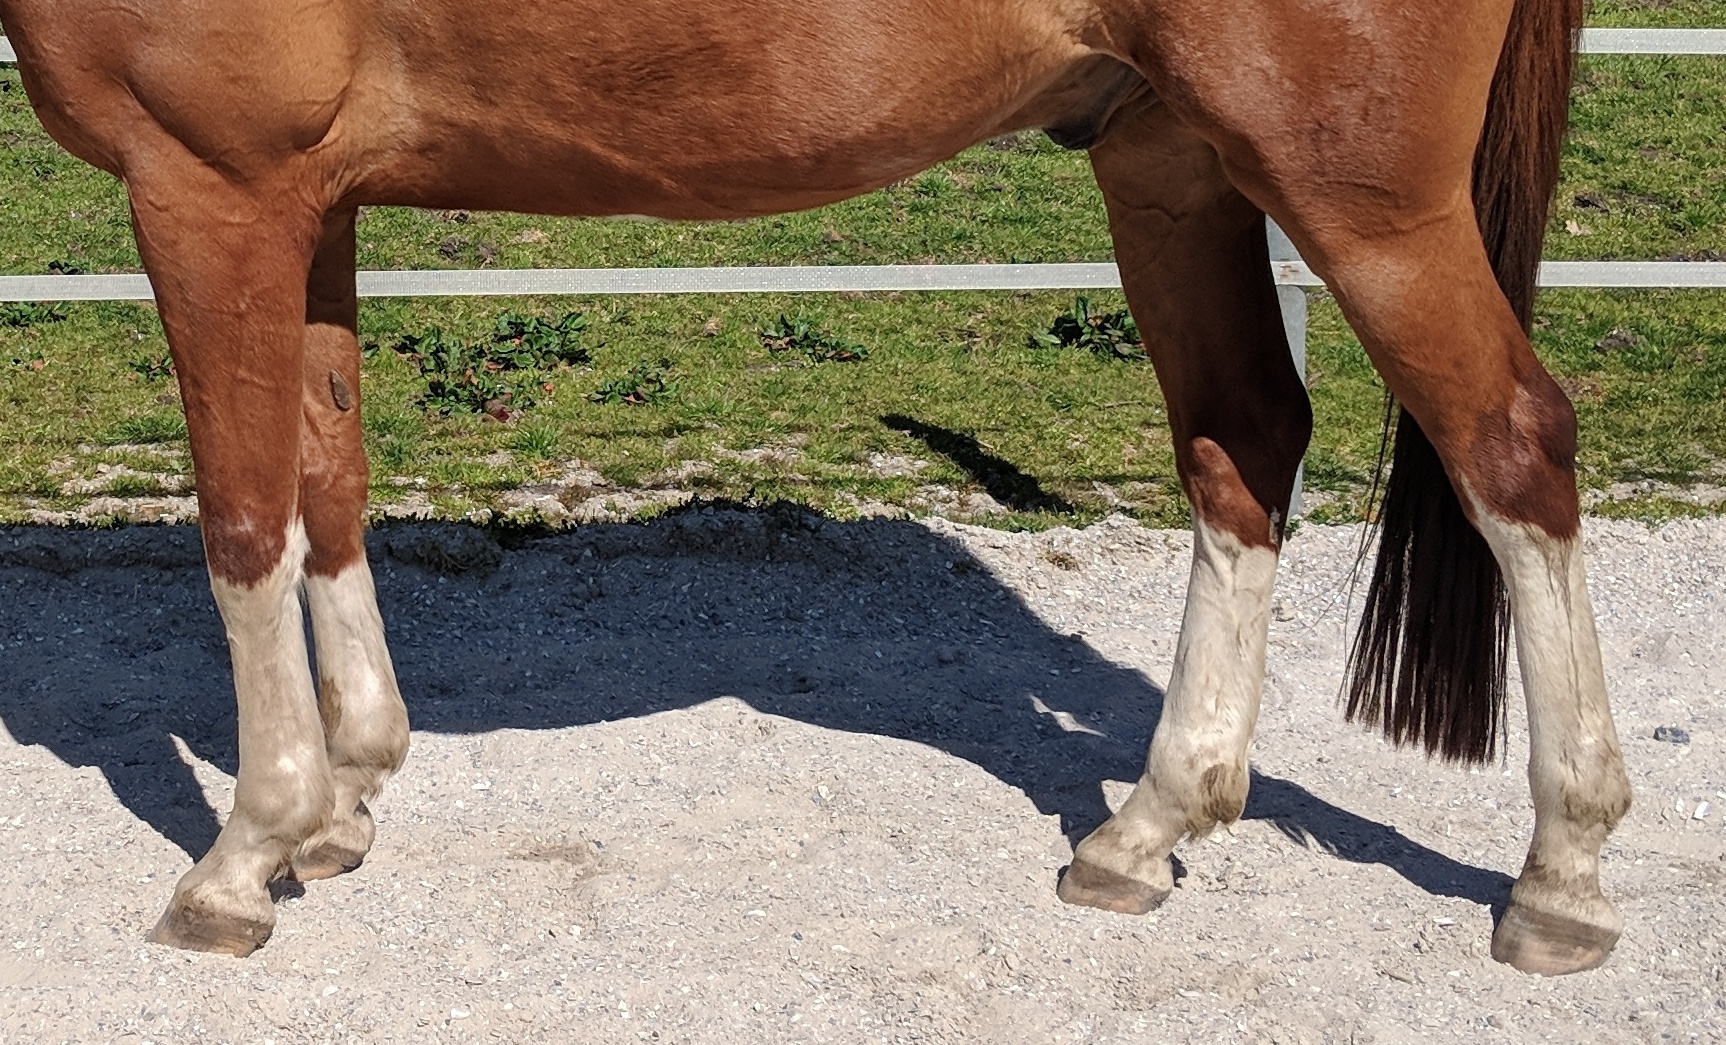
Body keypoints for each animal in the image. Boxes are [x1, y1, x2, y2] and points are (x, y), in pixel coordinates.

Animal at [0, 0, 1628, 975]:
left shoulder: (210, 183)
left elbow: (240, 519)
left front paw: (242, 853)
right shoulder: (310, 195)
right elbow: (325, 485)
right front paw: (341, 804)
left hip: (1360, 197)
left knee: (1513, 451)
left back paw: (1559, 878)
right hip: (1170, 162)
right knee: (1242, 443)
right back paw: (1144, 830)